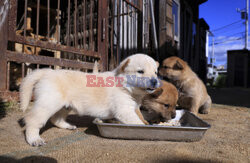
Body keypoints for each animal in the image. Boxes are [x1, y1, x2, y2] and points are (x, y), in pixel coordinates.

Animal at [20, 53, 159, 146]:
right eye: (140, 71)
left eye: (155, 72)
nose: (155, 80)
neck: (125, 86)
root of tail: (47, 72)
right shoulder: (124, 110)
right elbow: (137, 122)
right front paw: (145, 127)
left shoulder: (134, 108)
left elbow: (140, 117)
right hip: (49, 102)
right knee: (32, 120)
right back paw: (34, 139)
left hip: (66, 105)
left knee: (56, 119)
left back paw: (68, 126)